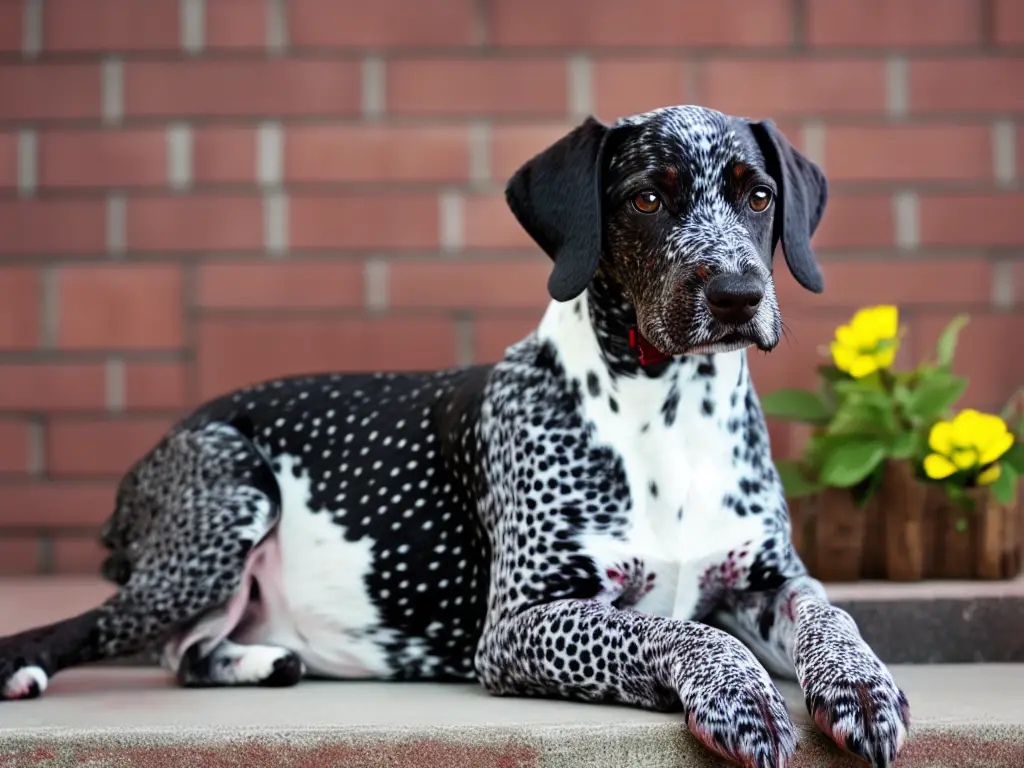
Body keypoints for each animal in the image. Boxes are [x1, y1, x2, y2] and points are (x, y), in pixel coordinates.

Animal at [0, 105, 913, 765]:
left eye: (758, 196)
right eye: (648, 197)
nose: (737, 294)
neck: (669, 418)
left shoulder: (771, 580)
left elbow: (833, 616)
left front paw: (862, 688)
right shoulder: (520, 621)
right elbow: (678, 628)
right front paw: (741, 695)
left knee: (185, 651)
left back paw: (262, 659)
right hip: (228, 505)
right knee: (66, 633)